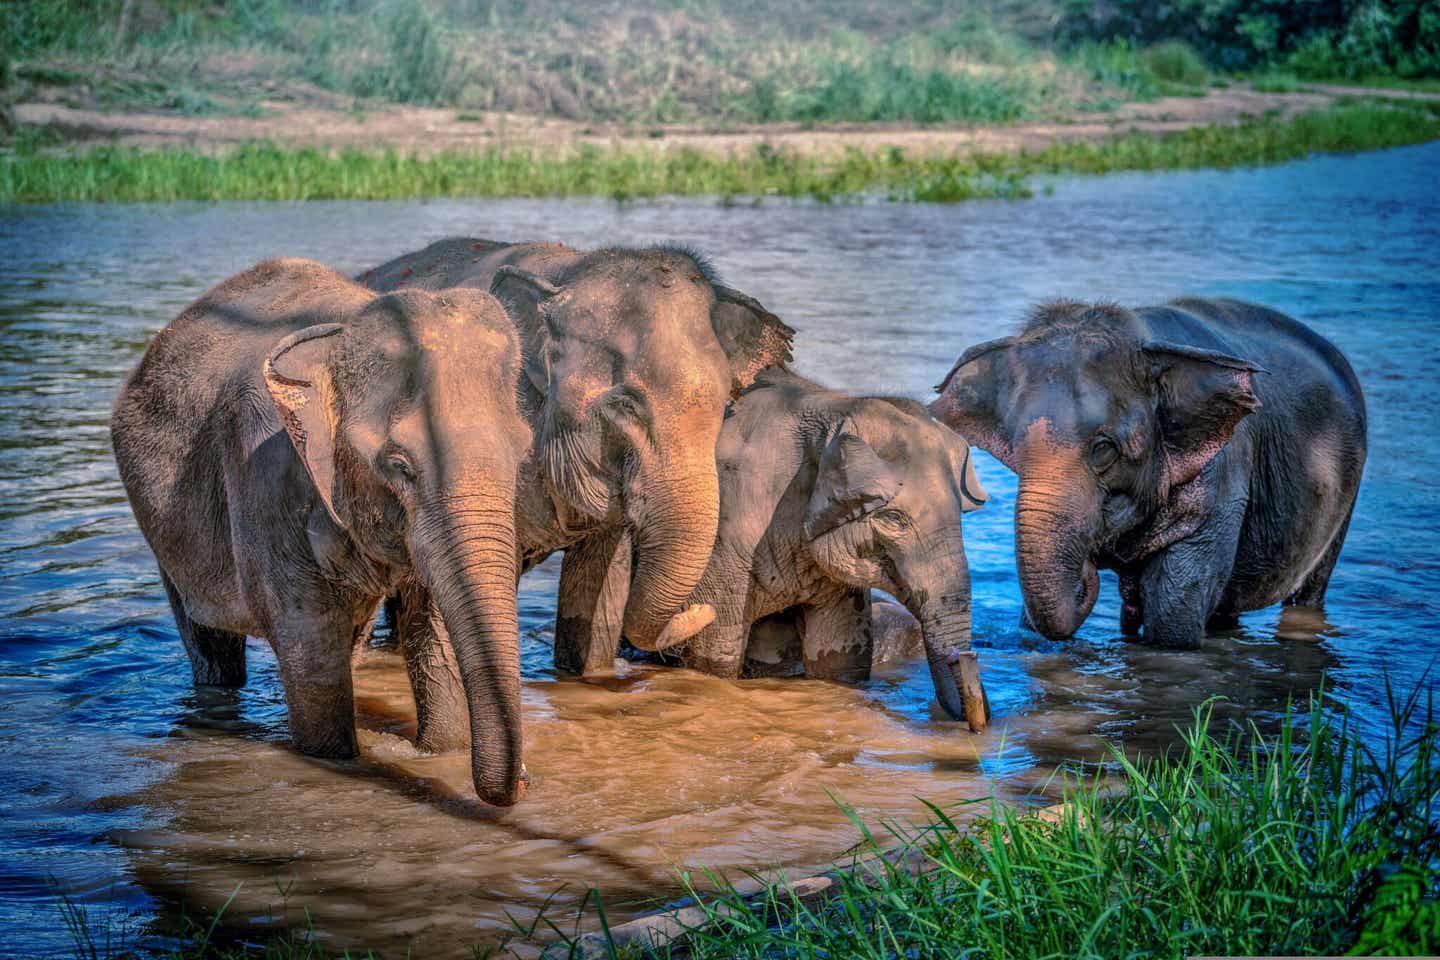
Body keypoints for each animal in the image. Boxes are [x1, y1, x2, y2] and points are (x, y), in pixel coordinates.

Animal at [109, 259, 532, 805]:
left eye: (522, 454)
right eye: (399, 466)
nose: (526, 779)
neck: (339, 335)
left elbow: (434, 623)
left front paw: (443, 753)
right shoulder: (262, 468)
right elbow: (307, 636)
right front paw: (335, 759)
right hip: (164, 533)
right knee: (209, 642)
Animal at [358, 236, 789, 742]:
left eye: (725, 405)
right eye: (626, 405)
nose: (702, 611)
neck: (573, 271)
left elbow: (600, 590)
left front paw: (589, 677)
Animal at [555, 371, 984, 725]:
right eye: (894, 519)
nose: (964, 660)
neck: (837, 409)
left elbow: (840, 655)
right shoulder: (727, 527)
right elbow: (715, 651)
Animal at [927, 296, 1365, 650]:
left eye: (1104, 449)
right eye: (1017, 449)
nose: (1089, 571)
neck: (1146, 338)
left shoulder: (1223, 478)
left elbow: (1172, 619)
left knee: (1308, 593)